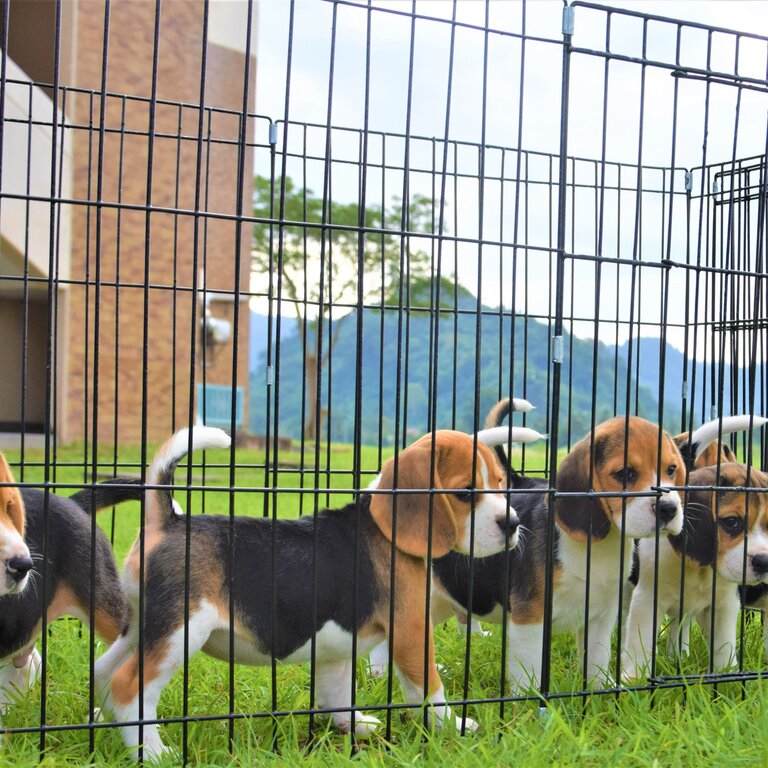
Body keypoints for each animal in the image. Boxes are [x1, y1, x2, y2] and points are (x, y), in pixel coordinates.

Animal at [93, 428, 520, 760]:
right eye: (465, 493)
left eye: (501, 485)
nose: (513, 523)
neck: (385, 528)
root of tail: (167, 519)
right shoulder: (412, 629)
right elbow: (430, 690)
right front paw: (454, 725)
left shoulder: (337, 650)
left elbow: (337, 694)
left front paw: (354, 726)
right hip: (181, 631)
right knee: (128, 687)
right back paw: (153, 752)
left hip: (142, 627)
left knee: (102, 672)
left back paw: (101, 725)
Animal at [428, 414, 688, 688]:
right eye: (625, 473)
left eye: (672, 469)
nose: (669, 508)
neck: (598, 547)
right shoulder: (530, 618)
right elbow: (528, 674)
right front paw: (531, 699)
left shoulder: (601, 616)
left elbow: (596, 662)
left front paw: (598, 692)